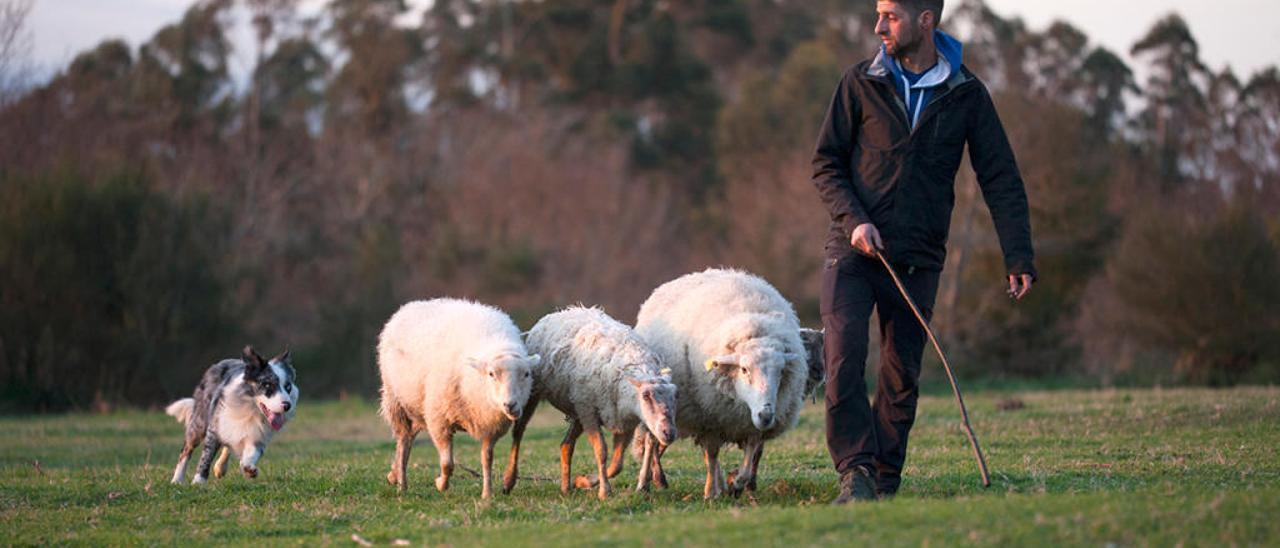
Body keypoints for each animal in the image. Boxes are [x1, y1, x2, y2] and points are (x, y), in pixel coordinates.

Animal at [378, 297, 540, 499]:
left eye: (527, 374)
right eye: (491, 374)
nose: (510, 405)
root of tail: (408, 306)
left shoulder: (491, 427)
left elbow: (487, 459)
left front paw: (487, 494)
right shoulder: (439, 420)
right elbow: (447, 463)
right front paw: (440, 484)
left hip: (418, 406)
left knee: (409, 436)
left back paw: (393, 475)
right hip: (395, 401)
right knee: (403, 440)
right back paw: (402, 485)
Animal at [501, 306, 680, 499]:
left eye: (675, 396)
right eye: (646, 395)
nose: (669, 433)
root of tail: (561, 311)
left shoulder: (623, 420)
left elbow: (617, 464)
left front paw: (583, 481)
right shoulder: (591, 413)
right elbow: (601, 451)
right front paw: (604, 491)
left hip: (578, 408)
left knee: (566, 445)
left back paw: (566, 487)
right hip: (541, 395)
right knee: (518, 432)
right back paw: (509, 480)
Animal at [634, 267, 803, 499]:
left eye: (781, 371)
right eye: (744, 369)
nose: (766, 415)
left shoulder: (747, 424)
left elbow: (749, 458)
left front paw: (735, 485)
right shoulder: (710, 416)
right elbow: (713, 454)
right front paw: (710, 494)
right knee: (652, 441)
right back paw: (645, 483)